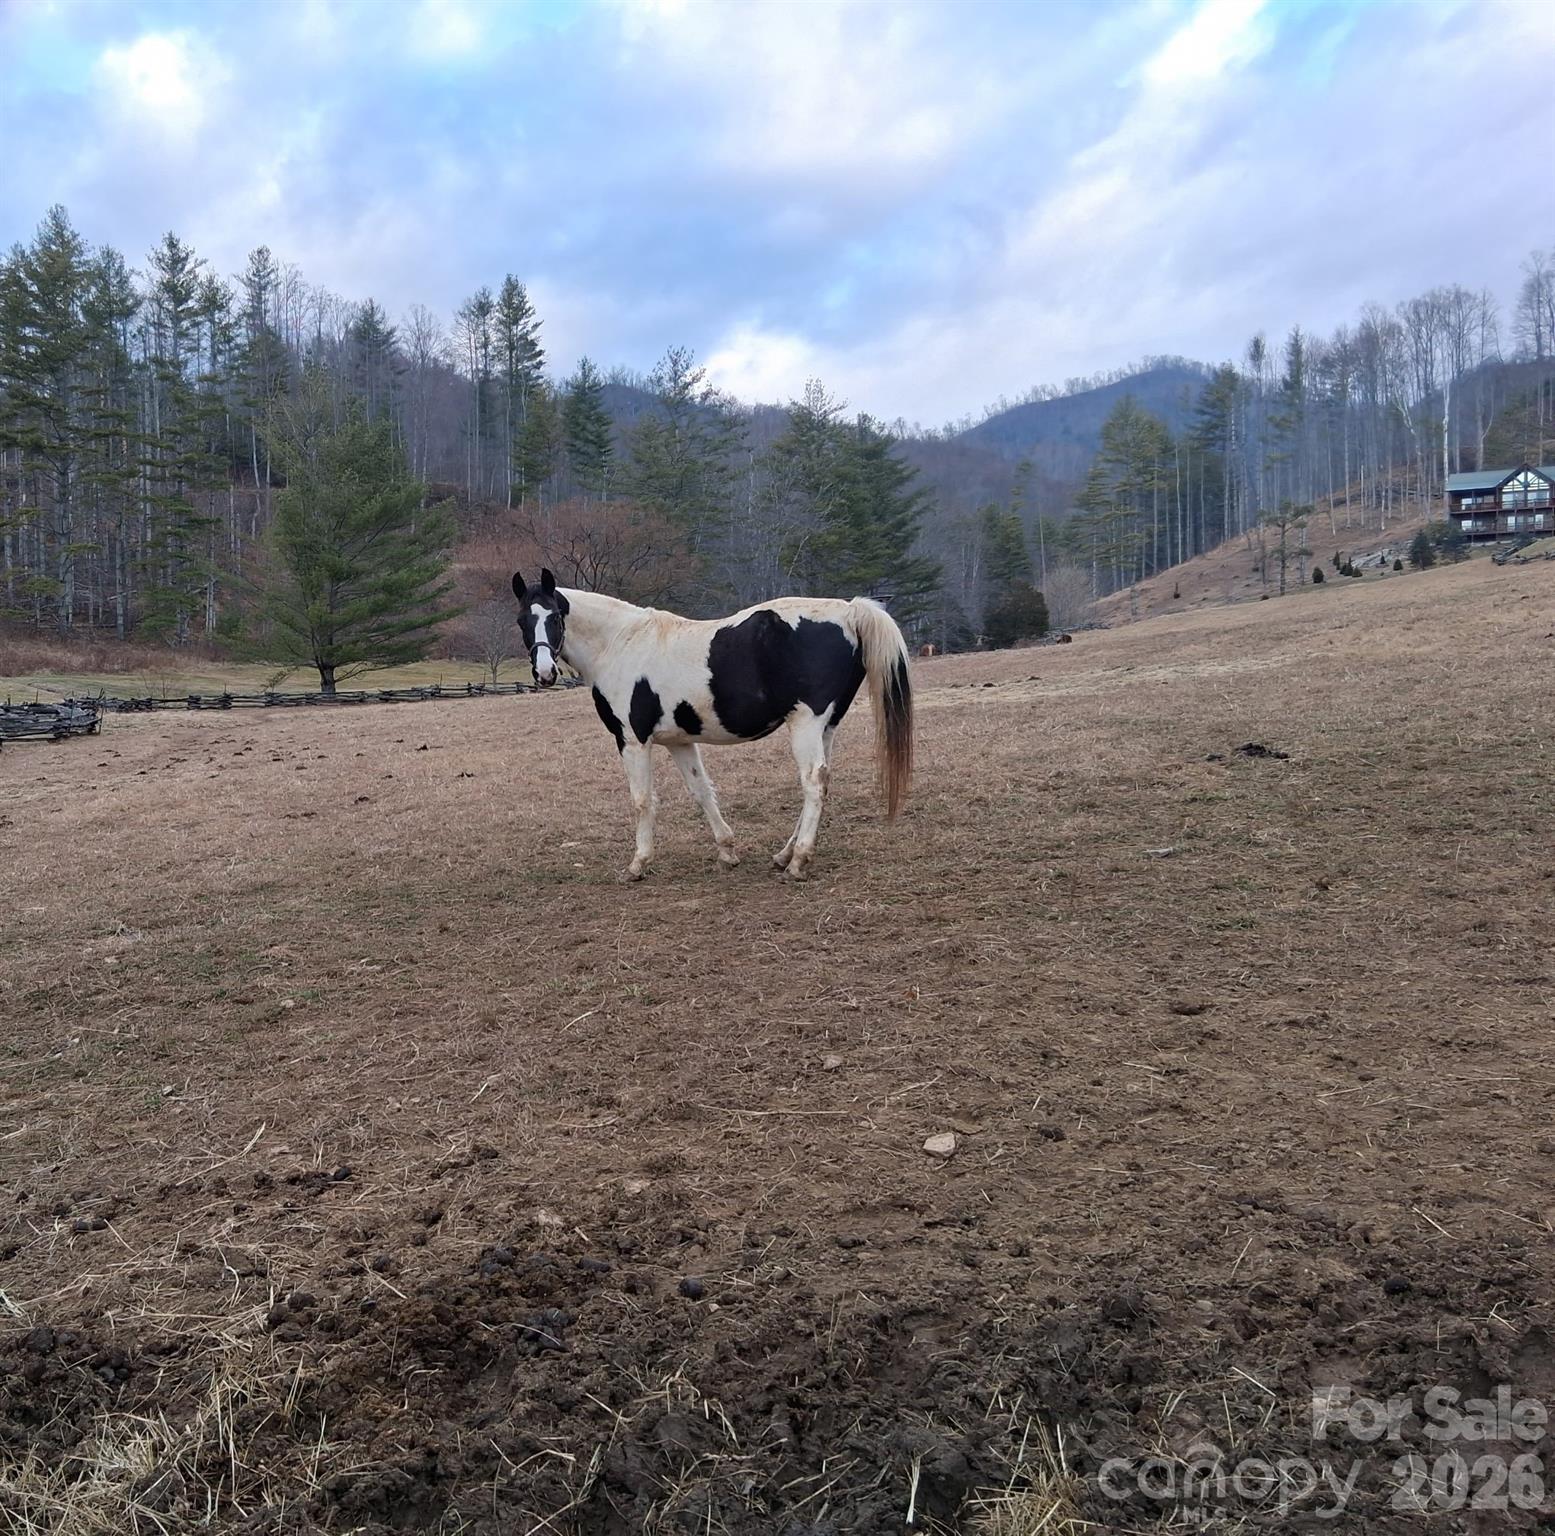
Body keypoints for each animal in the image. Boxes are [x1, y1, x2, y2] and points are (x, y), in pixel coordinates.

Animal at [512, 569, 913, 880]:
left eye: (554, 617)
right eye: (521, 621)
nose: (544, 673)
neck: (619, 644)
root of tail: (850, 610)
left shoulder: (632, 740)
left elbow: (642, 800)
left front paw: (638, 864)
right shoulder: (679, 741)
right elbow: (701, 791)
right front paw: (727, 851)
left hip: (806, 723)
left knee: (813, 783)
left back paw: (798, 862)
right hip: (825, 726)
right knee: (820, 782)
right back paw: (784, 855)